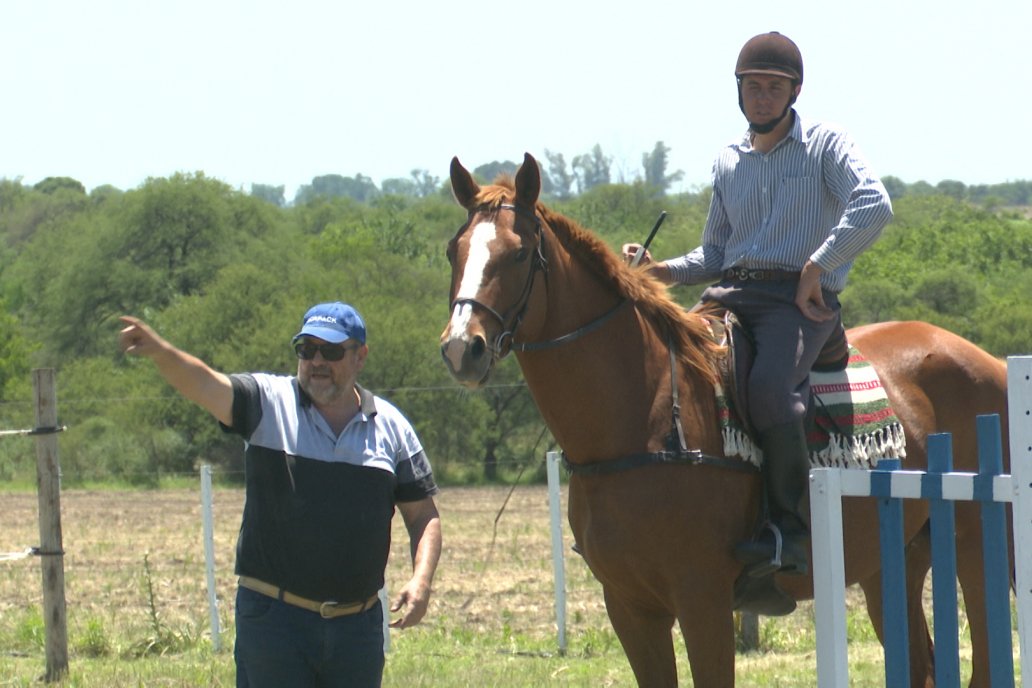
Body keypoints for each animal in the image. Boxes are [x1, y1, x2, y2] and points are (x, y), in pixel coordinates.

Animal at [441, 153, 1007, 684]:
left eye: (518, 253)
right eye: (454, 250)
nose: (461, 348)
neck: (646, 419)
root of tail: (991, 361)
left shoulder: (703, 603)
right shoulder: (630, 608)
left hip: (976, 550)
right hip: (893, 565)